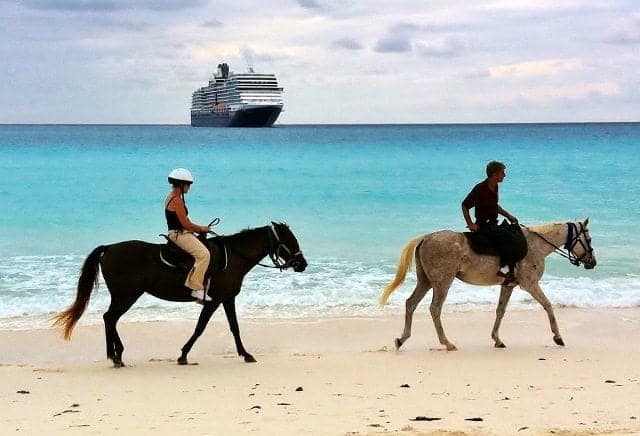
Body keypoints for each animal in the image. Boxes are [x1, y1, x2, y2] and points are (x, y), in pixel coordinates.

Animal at [52, 221, 308, 368]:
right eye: (290, 240)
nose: (302, 264)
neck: (234, 257)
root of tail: (109, 248)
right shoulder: (214, 301)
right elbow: (200, 327)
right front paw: (183, 355)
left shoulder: (227, 298)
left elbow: (234, 327)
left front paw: (245, 354)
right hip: (126, 295)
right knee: (109, 318)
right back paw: (116, 356)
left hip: (125, 296)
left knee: (110, 319)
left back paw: (116, 355)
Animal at [380, 220, 596, 350]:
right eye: (589, 238)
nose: (592, 262)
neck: (536, 246)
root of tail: (425, 238)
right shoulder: (530, 284)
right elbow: (548, 306)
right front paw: (558, 337)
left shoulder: (508, 286)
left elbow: (500, 311)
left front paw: (497, 339)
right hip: (442, 282)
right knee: (434, 309)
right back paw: (447, 343)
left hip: (425, 281)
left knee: (411, 303)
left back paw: (401, 339)